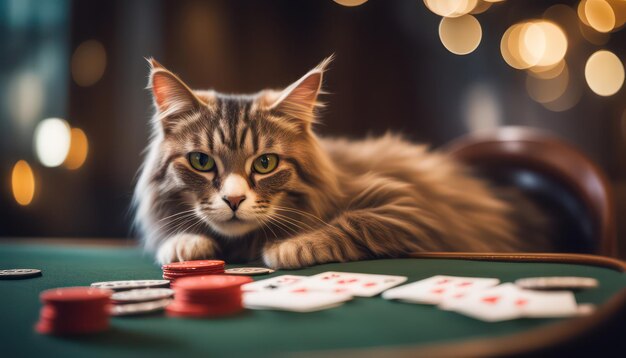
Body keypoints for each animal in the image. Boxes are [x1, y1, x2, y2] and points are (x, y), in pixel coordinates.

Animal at [132, 56, 544, 268]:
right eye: (201, 161)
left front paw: (289, 246)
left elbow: (353, 223)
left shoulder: (411, 208)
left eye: (265, 164)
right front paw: (185, 244)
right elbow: (173, 236)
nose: (233, 200)